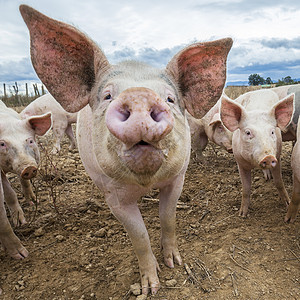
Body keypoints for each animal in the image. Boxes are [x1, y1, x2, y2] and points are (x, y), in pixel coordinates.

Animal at [0, 100, 51, 258]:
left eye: (30, 141)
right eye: (2, 144)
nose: (28, 167)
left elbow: (21, 183)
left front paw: (33, 202)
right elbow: (8, 193)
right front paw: (22, 255)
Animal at [19, 4, 233, 296]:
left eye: (170, 98)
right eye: (107, 96)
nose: (139, 95)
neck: (146, 182)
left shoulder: (178, 178)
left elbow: (168, 217)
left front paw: (174, 263)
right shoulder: (114, 196)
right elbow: (139, 236)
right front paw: (150, 287)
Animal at [219, 89, 294, 218]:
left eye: (272, 132)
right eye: (248, 132)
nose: (268, 157)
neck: (253, 163)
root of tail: (260, 90)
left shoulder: (277, 156)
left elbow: (279, 182)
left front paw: (287, 203)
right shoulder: (240, 163)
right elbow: (246, 189)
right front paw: (242, 215)